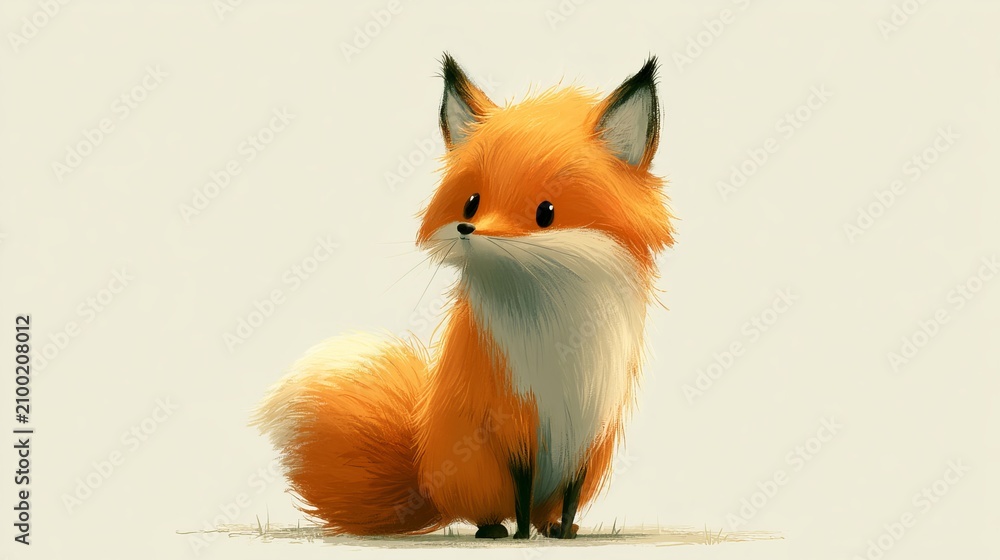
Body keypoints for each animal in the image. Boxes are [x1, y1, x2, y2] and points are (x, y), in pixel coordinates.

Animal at [252, 53, 675, 540]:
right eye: (472, 202)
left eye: (545, 212)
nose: (467, 228)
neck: (559, 338)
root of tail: (422, 467)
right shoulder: (511, 424)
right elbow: (522, 491)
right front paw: (522, 538)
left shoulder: (590, 430)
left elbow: (569, 496)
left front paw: (564, 532)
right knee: (490, 509)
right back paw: (496, 530)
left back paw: (551, 528)